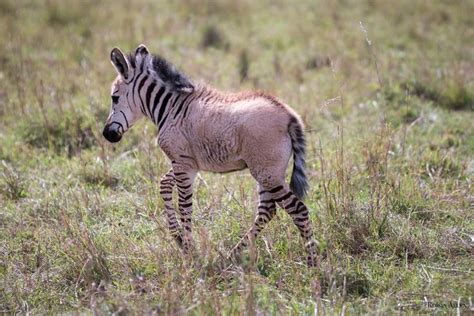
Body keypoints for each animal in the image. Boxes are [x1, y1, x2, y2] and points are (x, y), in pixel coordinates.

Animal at [103, 44, 318, 266]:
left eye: (114, 98)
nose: (107, 134)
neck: (170, 108)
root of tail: (289, 115)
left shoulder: (183, 164)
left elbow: (185, 207)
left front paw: (189, 251)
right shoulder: (186, 163)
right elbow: (164, 185)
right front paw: (178, 238)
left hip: (267, 172)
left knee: (298, 210)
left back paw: (312, 264)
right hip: (267, 172)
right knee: (267, 210)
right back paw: (233, 254)